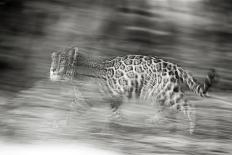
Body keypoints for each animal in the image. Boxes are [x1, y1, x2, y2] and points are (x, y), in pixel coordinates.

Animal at [49, 46, 216, 134]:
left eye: (62, 60)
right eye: (53, 60)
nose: (52, 69)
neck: (75, 75)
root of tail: (172, 65)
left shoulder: (88, 99)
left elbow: (72, 111)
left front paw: (61, 124)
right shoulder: (114, 97)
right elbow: (114, 111)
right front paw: (116, 123)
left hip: (166, 92)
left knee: (188, 106)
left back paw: (190, 129)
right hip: (161, 93)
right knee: (166, 110)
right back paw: (158, 123)